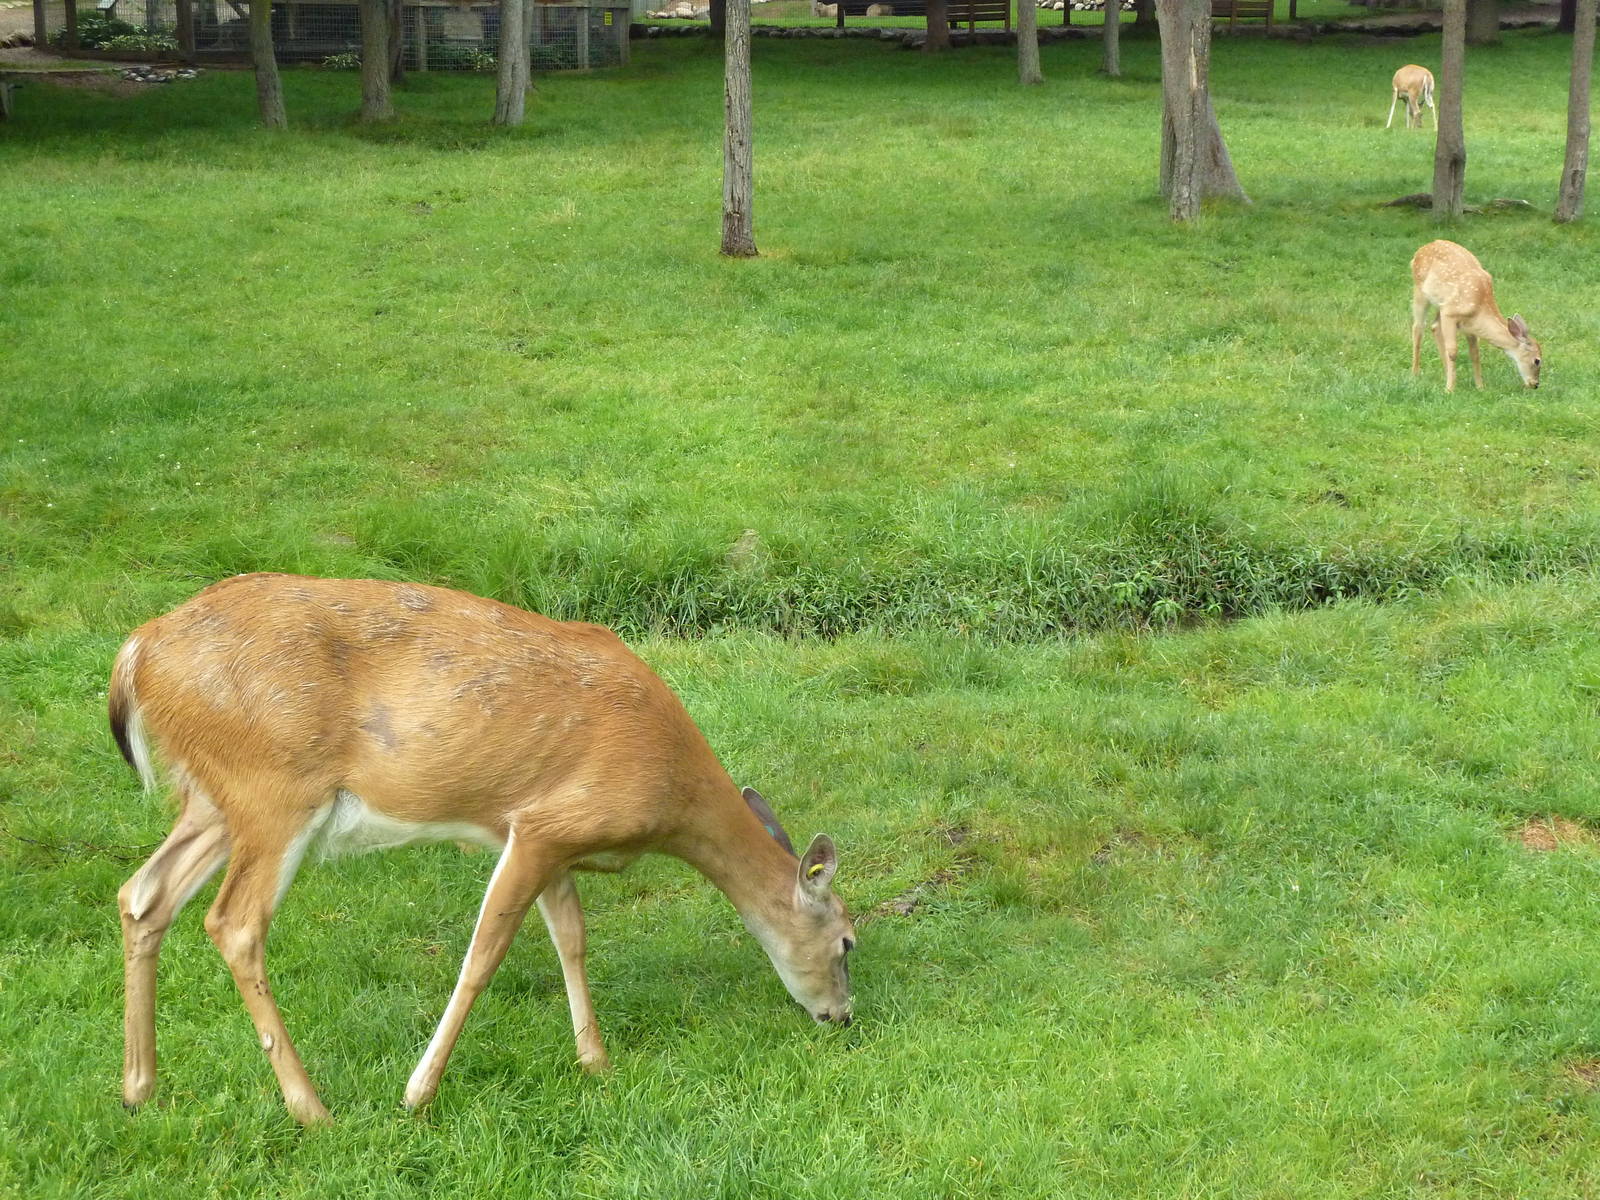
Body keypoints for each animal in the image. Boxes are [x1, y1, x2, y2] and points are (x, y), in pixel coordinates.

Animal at [110, 573, 855, 1125]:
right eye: (848, 941)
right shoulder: (547, 826)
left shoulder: (550, 837)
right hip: (273, 787)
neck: (674, 793)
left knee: (144, 893)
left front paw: (596, 1062)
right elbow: (484, 954)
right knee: (234, 923)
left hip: (214, 799)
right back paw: (311, 1107)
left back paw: (139, 1088)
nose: (843, 1017)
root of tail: (138, 652)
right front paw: (417, 1093)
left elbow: (571, 938)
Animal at [1410, 240, 1542, 393]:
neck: (1479, 307)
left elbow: (1475, 354)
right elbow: (1453, 352)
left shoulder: (1469, 325)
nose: (1535, 384)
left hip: (1440, 303)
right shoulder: (1450, 313)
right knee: (1418, 328)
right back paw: (1415, 373)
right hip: (1420, 289)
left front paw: (1480, 386)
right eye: (1537, 360)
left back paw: (1446, 373)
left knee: (1434, 326)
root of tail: (1422, 248)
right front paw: (1449, 389)